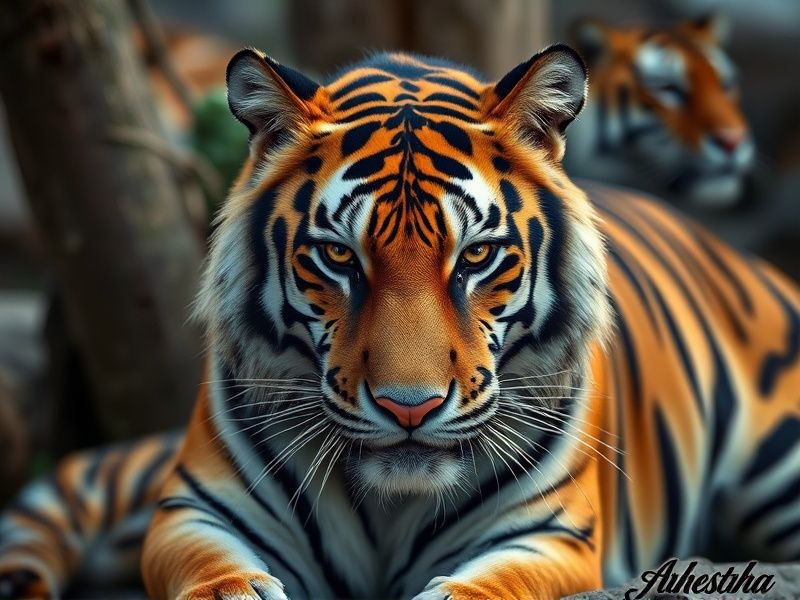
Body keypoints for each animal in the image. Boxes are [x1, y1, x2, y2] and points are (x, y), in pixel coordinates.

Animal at [1, 43, 799, 600]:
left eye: (476, 255)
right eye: (337, 256)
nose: (408, 408)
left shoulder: (551, 535)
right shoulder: (193, 511)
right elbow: (212, 573)